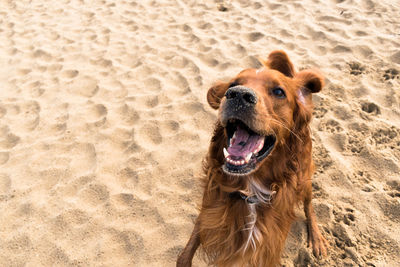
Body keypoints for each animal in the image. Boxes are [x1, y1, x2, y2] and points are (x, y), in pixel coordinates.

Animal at [177, 50, 326, 267]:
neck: (250, 192)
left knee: (309, 204)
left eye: (279, 92)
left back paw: (316, 238)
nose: (238, 95)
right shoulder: (208, 211)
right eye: (232, 85)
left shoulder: (267, 247)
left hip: (304, 176)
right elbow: (185, 254)